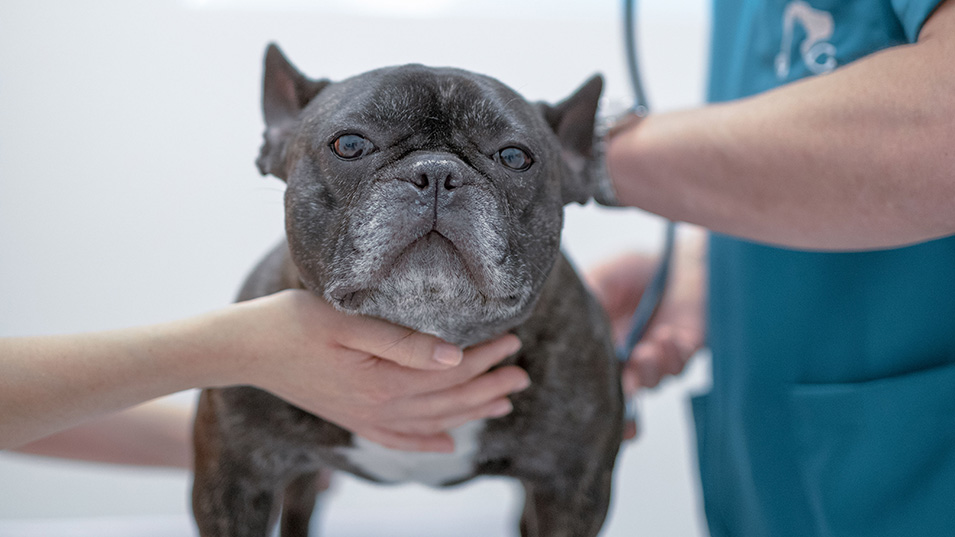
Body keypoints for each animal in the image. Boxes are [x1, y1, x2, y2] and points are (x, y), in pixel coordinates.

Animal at [192, 43, 628, 536]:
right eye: (350, 144)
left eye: (515, 157)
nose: (436, 172)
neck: (426, 333)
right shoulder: (234, 480)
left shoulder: (570, 487)